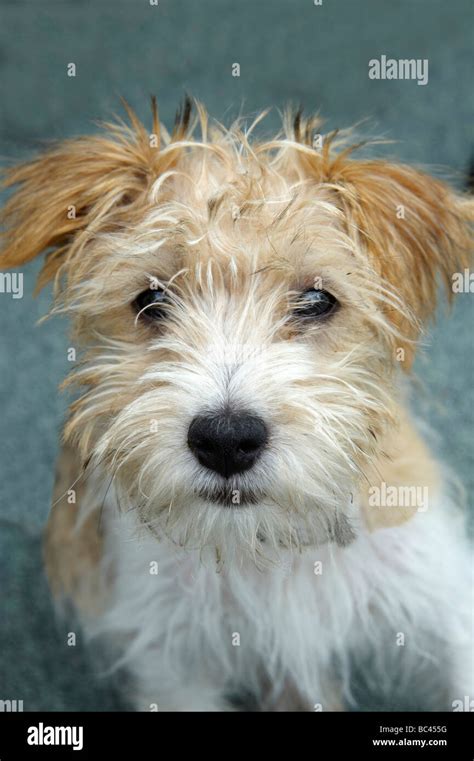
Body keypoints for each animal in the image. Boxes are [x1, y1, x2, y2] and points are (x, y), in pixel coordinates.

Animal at [1, 98, 472, 708]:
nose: (226, 440)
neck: (269, 547)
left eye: (318, 300)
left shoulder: (445, 603)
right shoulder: (173, 662)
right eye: (151, 300)